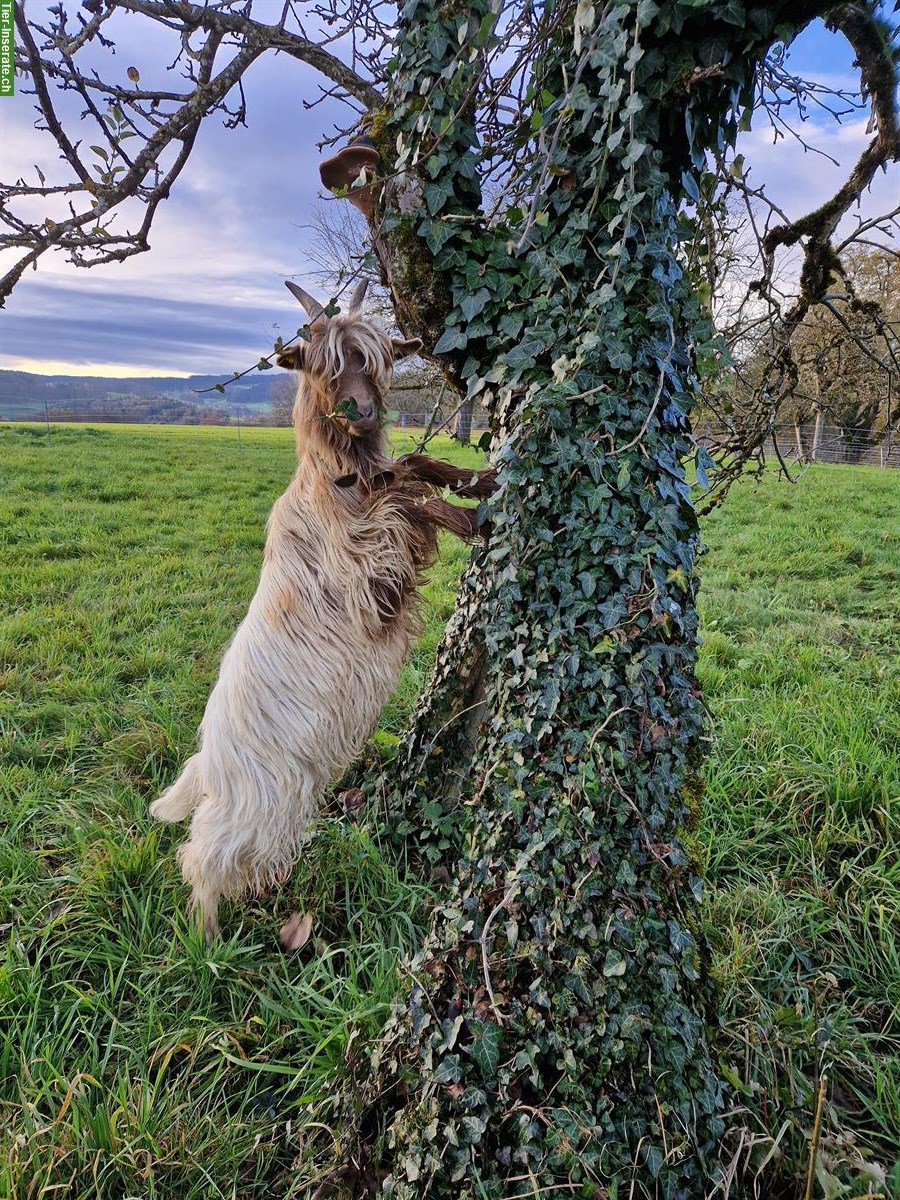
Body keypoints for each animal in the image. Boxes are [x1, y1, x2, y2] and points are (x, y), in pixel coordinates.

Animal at [151, 278, 496, 936]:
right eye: (320, 364)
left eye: (377, 360)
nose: (359, 411)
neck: (332, 480)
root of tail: (207, 760)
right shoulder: (370, 573)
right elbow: (403, 492)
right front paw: (474, 516)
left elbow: (408, 466)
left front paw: (480, 479)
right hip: (257, 798)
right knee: (203, 854)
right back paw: (207, 937)